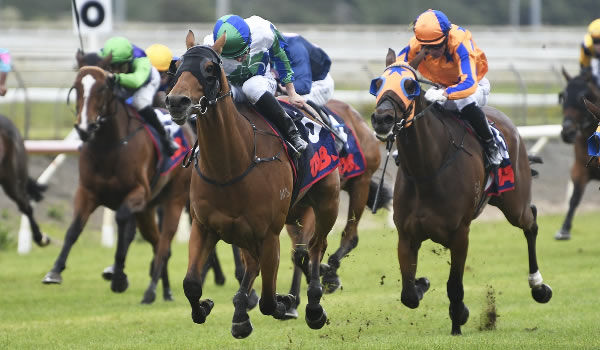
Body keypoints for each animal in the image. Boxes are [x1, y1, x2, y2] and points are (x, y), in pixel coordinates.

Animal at [43, 62, 193, 304]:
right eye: (77, 88)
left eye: (102, 89)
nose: (84, 128)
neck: (108, 147)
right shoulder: (87, 192)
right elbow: (74, 229)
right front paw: (55, 271)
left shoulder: (137, 193)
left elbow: (122, 224)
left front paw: (119, 277)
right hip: (147, 210)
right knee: (157, 243)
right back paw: (165, 291)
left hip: (174, 200)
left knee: (163, 245)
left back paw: (151, 291)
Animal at [166, 31, 340, 338]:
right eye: (176, 68)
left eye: (210, 68)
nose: (177, 101)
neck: (230, 166)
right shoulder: (204, 226)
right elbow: (191, 284)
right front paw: (206, 307)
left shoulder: (269, 235)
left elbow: (269, 301)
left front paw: (286, 302)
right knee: (258, 263)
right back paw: (241, 310)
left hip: (327, 201)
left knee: (315, 247)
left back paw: (314, 305)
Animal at [370, 50, 552, 336]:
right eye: (377, 84)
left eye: (410, 86)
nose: (381, 119)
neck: (426, 169)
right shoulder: (406, 235)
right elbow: (408, 293)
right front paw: (422, 283)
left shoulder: (459, 234)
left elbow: (454, 286)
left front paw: (459, 319)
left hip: (515, 203)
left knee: (530, 221)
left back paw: (539, 287)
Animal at [552, 69, 600, 241]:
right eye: (563, 96)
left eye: (583, 96)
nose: (568, 132)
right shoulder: (580, 167)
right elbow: (574, 197)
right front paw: (564, 229)